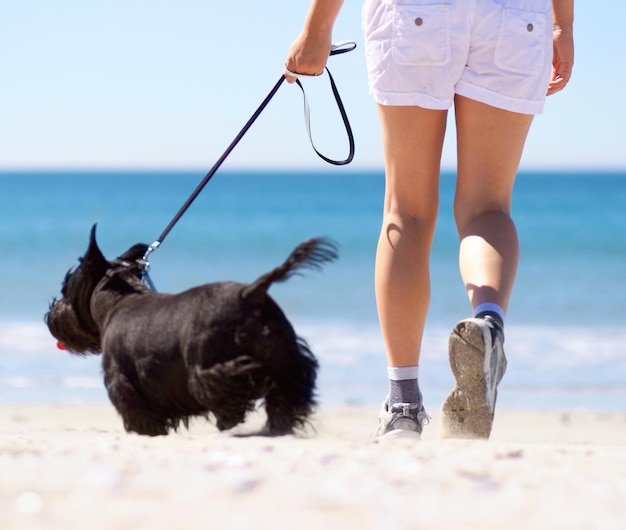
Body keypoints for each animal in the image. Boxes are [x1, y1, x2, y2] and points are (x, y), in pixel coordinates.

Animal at [45, 225, 336, 436]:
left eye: (65, 288)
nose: (50, 315)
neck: (119, 299)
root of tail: (250, 293)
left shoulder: (124, 383)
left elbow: (140, 415)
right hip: (285, 356)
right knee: (289, 389)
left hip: (210, 362)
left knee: (239, 384)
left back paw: (232, 417)